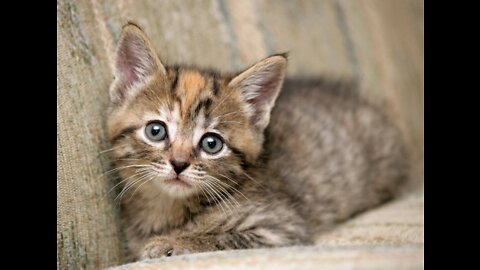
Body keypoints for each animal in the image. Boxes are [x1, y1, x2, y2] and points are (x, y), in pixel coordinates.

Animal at [108, 23, 408, 260]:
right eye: (156, 131)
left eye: (211, 143)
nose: (179, 163)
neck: (168, 207)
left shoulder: (280, 228)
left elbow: (221, 237)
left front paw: (171, 243)